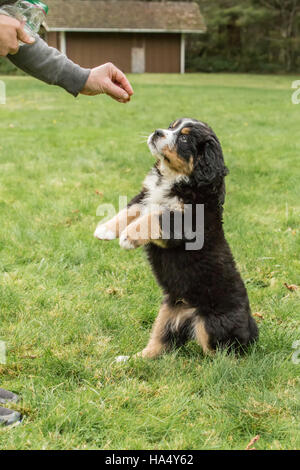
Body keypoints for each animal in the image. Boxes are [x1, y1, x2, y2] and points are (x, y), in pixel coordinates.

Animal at [94, 119, 258, 358]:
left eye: (184, 138)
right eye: (172, 126)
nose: (156, 132)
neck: (173, 178)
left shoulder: (184, 223)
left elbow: (154, 218)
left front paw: (128, 237)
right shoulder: (145, 198)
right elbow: (129, 210)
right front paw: (104, 229)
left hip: (211, 323)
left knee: (224, 352)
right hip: (167, 314)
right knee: (160, 346)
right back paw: (130, 359)